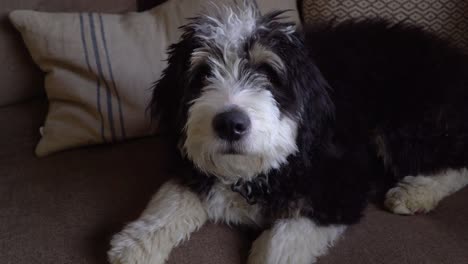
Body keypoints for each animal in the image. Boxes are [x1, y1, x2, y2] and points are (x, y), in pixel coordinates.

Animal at [109, 2, 468, 264]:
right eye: (202, 74)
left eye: (269, 73)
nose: (230, 124)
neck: (255, 172)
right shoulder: (190, 159)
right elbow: (170, 198)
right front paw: (134, 245)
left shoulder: (339, 185)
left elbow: (280, 243)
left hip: (410, 122)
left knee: (455, 159)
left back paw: (415, 192)